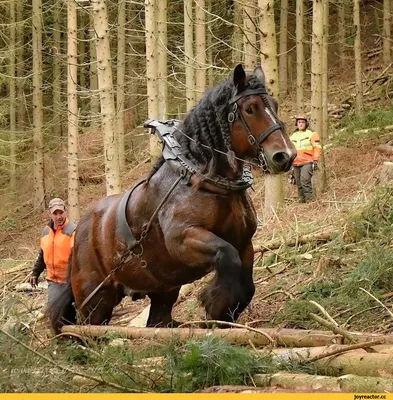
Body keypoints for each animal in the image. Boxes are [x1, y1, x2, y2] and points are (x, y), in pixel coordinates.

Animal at [48, 65, 294, 334]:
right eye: (250, 109)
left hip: (162, 291)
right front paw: (214, 303)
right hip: (95, 300)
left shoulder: (244, 242)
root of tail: (79, 231)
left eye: (275, 105)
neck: (203, 178)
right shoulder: (183, 239)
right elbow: (227, 257)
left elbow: (246, 286)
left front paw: (220, 313)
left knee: (157, 322)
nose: (285, 156)